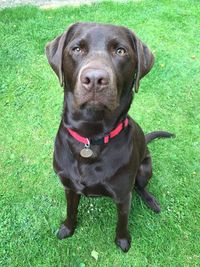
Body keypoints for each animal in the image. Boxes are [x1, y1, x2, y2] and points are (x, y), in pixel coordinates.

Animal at [45, 22, 173, 252]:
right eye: (77, 49)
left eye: (120, 51)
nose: (95, 79)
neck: (91, 137)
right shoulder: (69, 186)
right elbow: (71, 210)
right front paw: (68, 228)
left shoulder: (122, 196)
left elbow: (122, 221)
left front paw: (123, 240)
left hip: (145, 168)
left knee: (140, 187)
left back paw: (150, 201)